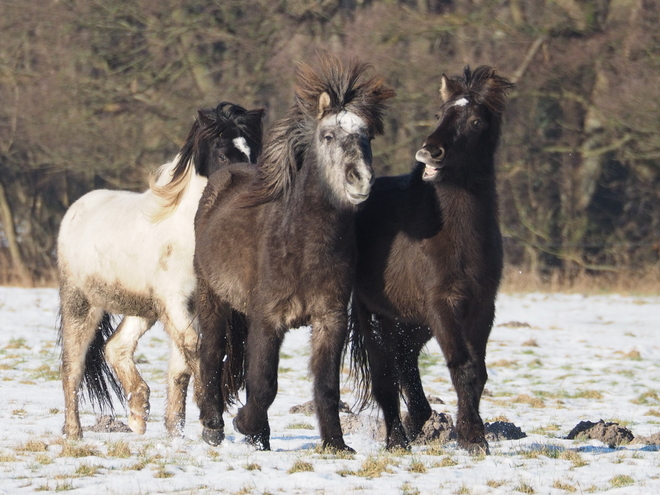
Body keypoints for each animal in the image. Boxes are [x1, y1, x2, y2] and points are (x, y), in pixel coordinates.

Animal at [56, 102, 262, 440]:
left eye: (253, 152)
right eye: (222, 155)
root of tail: (77, 209)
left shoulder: (192, 306)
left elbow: (182, 366)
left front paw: (175, 433)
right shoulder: (175, 301)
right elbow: (195, 349)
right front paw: (210, 422)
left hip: (144, 309)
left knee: (116, 347)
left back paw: (138, 414)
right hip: (81, 303)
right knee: (72, 368)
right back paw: (74, 433)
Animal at [193, 55, 394, 454]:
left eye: (366, 136)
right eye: (328, 136)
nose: (360, 179)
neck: (302, 242)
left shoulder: (330, 318)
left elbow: (327, 386)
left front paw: (336, 444)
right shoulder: (268, 318)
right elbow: (264, 383)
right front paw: (248, 427)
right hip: (213, 299)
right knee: (209, 355)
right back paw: (213, 426)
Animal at [350, 68, 516, 456]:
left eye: (475, 121)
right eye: (441, 113)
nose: (429, 153)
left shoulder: (482, 305)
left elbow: (478, 370)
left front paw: (471, 434)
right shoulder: (442, 303)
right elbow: (462, 365)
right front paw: (473, 437)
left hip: (413, 321)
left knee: (405, 363)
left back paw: (417, 422)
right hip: (376, 316)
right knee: (385, 376)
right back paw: (397, 439)